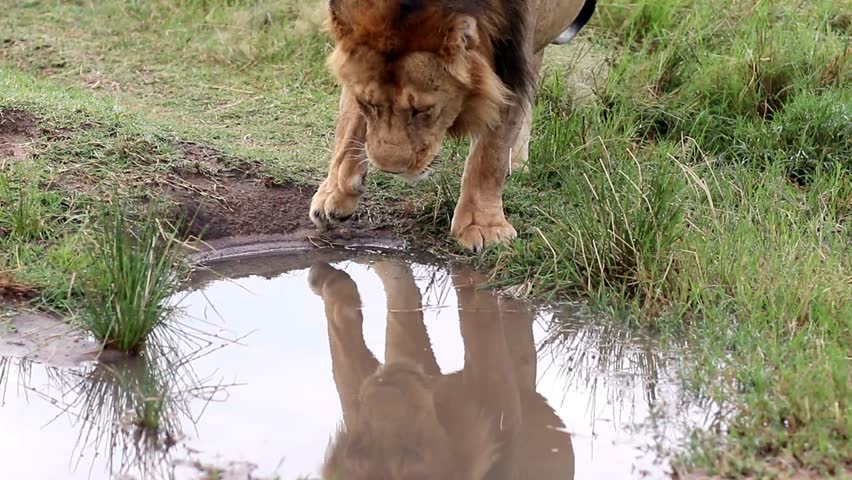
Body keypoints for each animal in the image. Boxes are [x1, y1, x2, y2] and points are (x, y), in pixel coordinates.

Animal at [308, 0, 597, 252]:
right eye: (367, 103)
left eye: (423, 110)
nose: (391, 170)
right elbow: (348, 127)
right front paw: (335, 193)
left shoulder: (509, 61)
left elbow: (489, 157)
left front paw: (483, 228)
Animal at [309, 259, 575, 479]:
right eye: (359, 452)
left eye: (415, 455)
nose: (391, 387)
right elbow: (344, 335)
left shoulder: (496, 405)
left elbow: (477, 317)